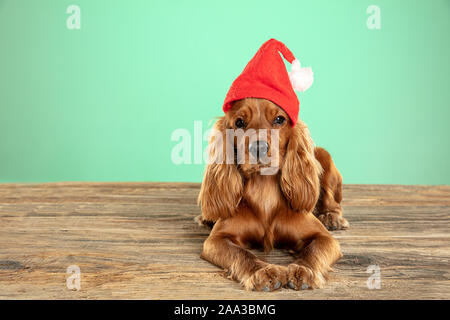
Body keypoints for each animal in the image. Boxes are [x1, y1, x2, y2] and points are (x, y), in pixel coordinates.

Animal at [197, 98, 348, 292]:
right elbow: (241, 253)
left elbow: (313, 250)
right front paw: (263, 272)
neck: (264, 190)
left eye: (279, 119)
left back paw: (331, 217)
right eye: (239, 122)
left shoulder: (325, 238)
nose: (259, 147)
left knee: (333, 202)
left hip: (324, 156)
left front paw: (302, 271)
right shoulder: (216, 240)